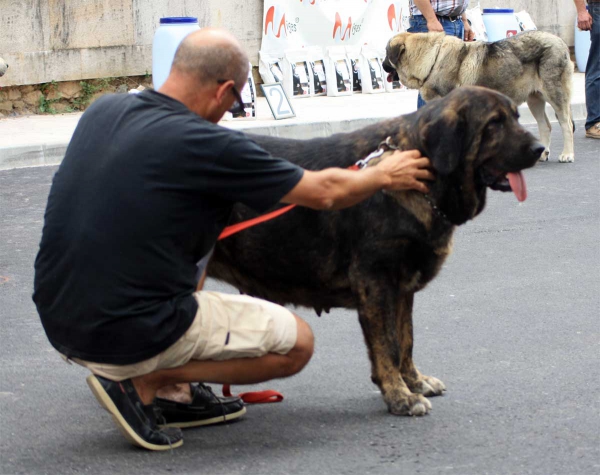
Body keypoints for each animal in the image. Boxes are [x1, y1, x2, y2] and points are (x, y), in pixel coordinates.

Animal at [209, 86, 548, 416]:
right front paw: (399, 396)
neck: (424, 176)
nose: (539, 149)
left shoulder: (402, 288)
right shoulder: (376, 282)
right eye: (494, 123)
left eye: (517, 117)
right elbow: (388, 344)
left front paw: (414, 381)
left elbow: (406, 339)